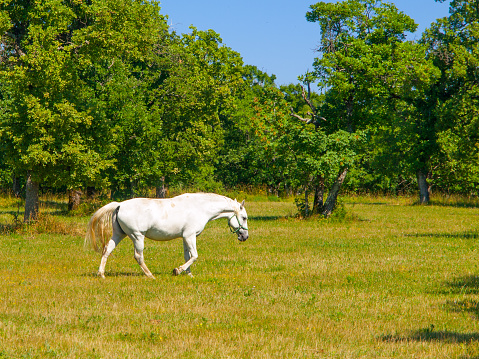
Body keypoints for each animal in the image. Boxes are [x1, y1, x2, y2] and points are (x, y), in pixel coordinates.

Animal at [85, 194, 249, 278]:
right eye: (244, 217)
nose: (245, 236)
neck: (200, 207)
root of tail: (119, 205)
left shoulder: (185, 237)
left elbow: (187, 256)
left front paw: (189, 275)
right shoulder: (190, 236)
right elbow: (194, 256)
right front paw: (178, 270)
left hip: (119, 235)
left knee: (107, 250)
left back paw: (101, 274)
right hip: (137, 237)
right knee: (138, 256)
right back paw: (150, 275)